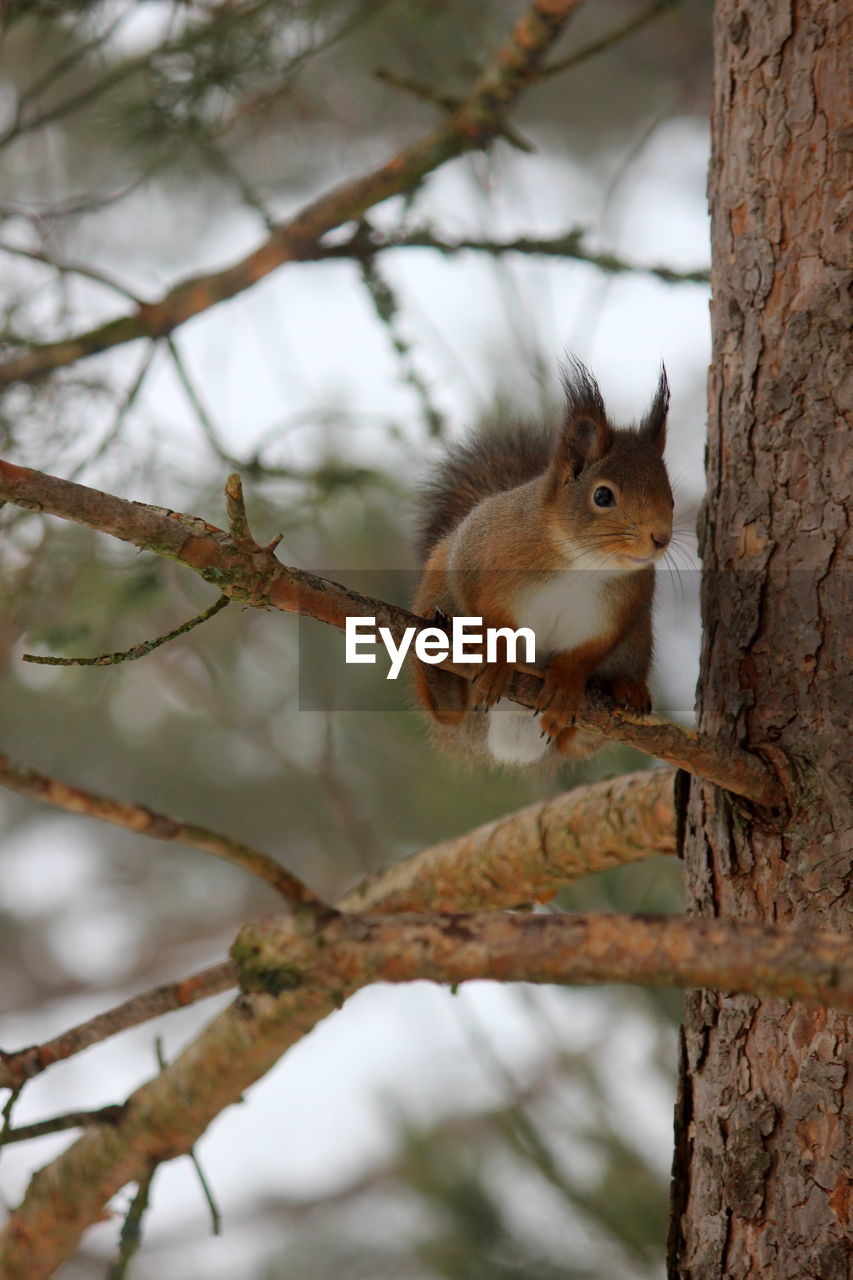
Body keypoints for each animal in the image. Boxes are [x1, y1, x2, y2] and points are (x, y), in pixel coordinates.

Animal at [412, 355, 671, 762]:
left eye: (670, 495)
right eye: (602, 496)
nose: (660, 538)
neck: (583, 563)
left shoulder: (616, 613)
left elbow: (584, 655)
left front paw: (565, 685)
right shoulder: (481, 553)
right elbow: (489, 617)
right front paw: (499, 659)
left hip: (635, 646)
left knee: (578, 741)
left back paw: (625, 690)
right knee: (448, 712)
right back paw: (439, 658)